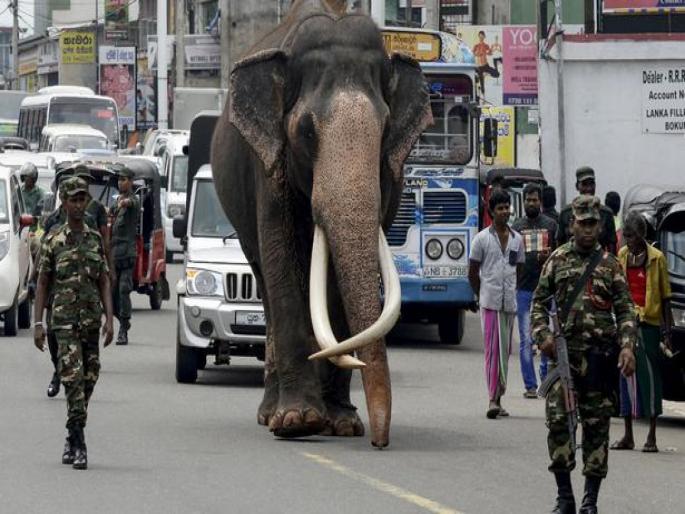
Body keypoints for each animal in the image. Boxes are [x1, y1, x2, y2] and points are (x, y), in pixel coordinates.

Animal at [211, 0, 431, 448]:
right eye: (307, 130)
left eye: (385, 129)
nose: (380, 441)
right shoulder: (268, 164)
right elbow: (280, 257)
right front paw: (297, 421)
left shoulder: (391, 174)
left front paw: (342, 424)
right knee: (264, 279)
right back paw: (270, 414)